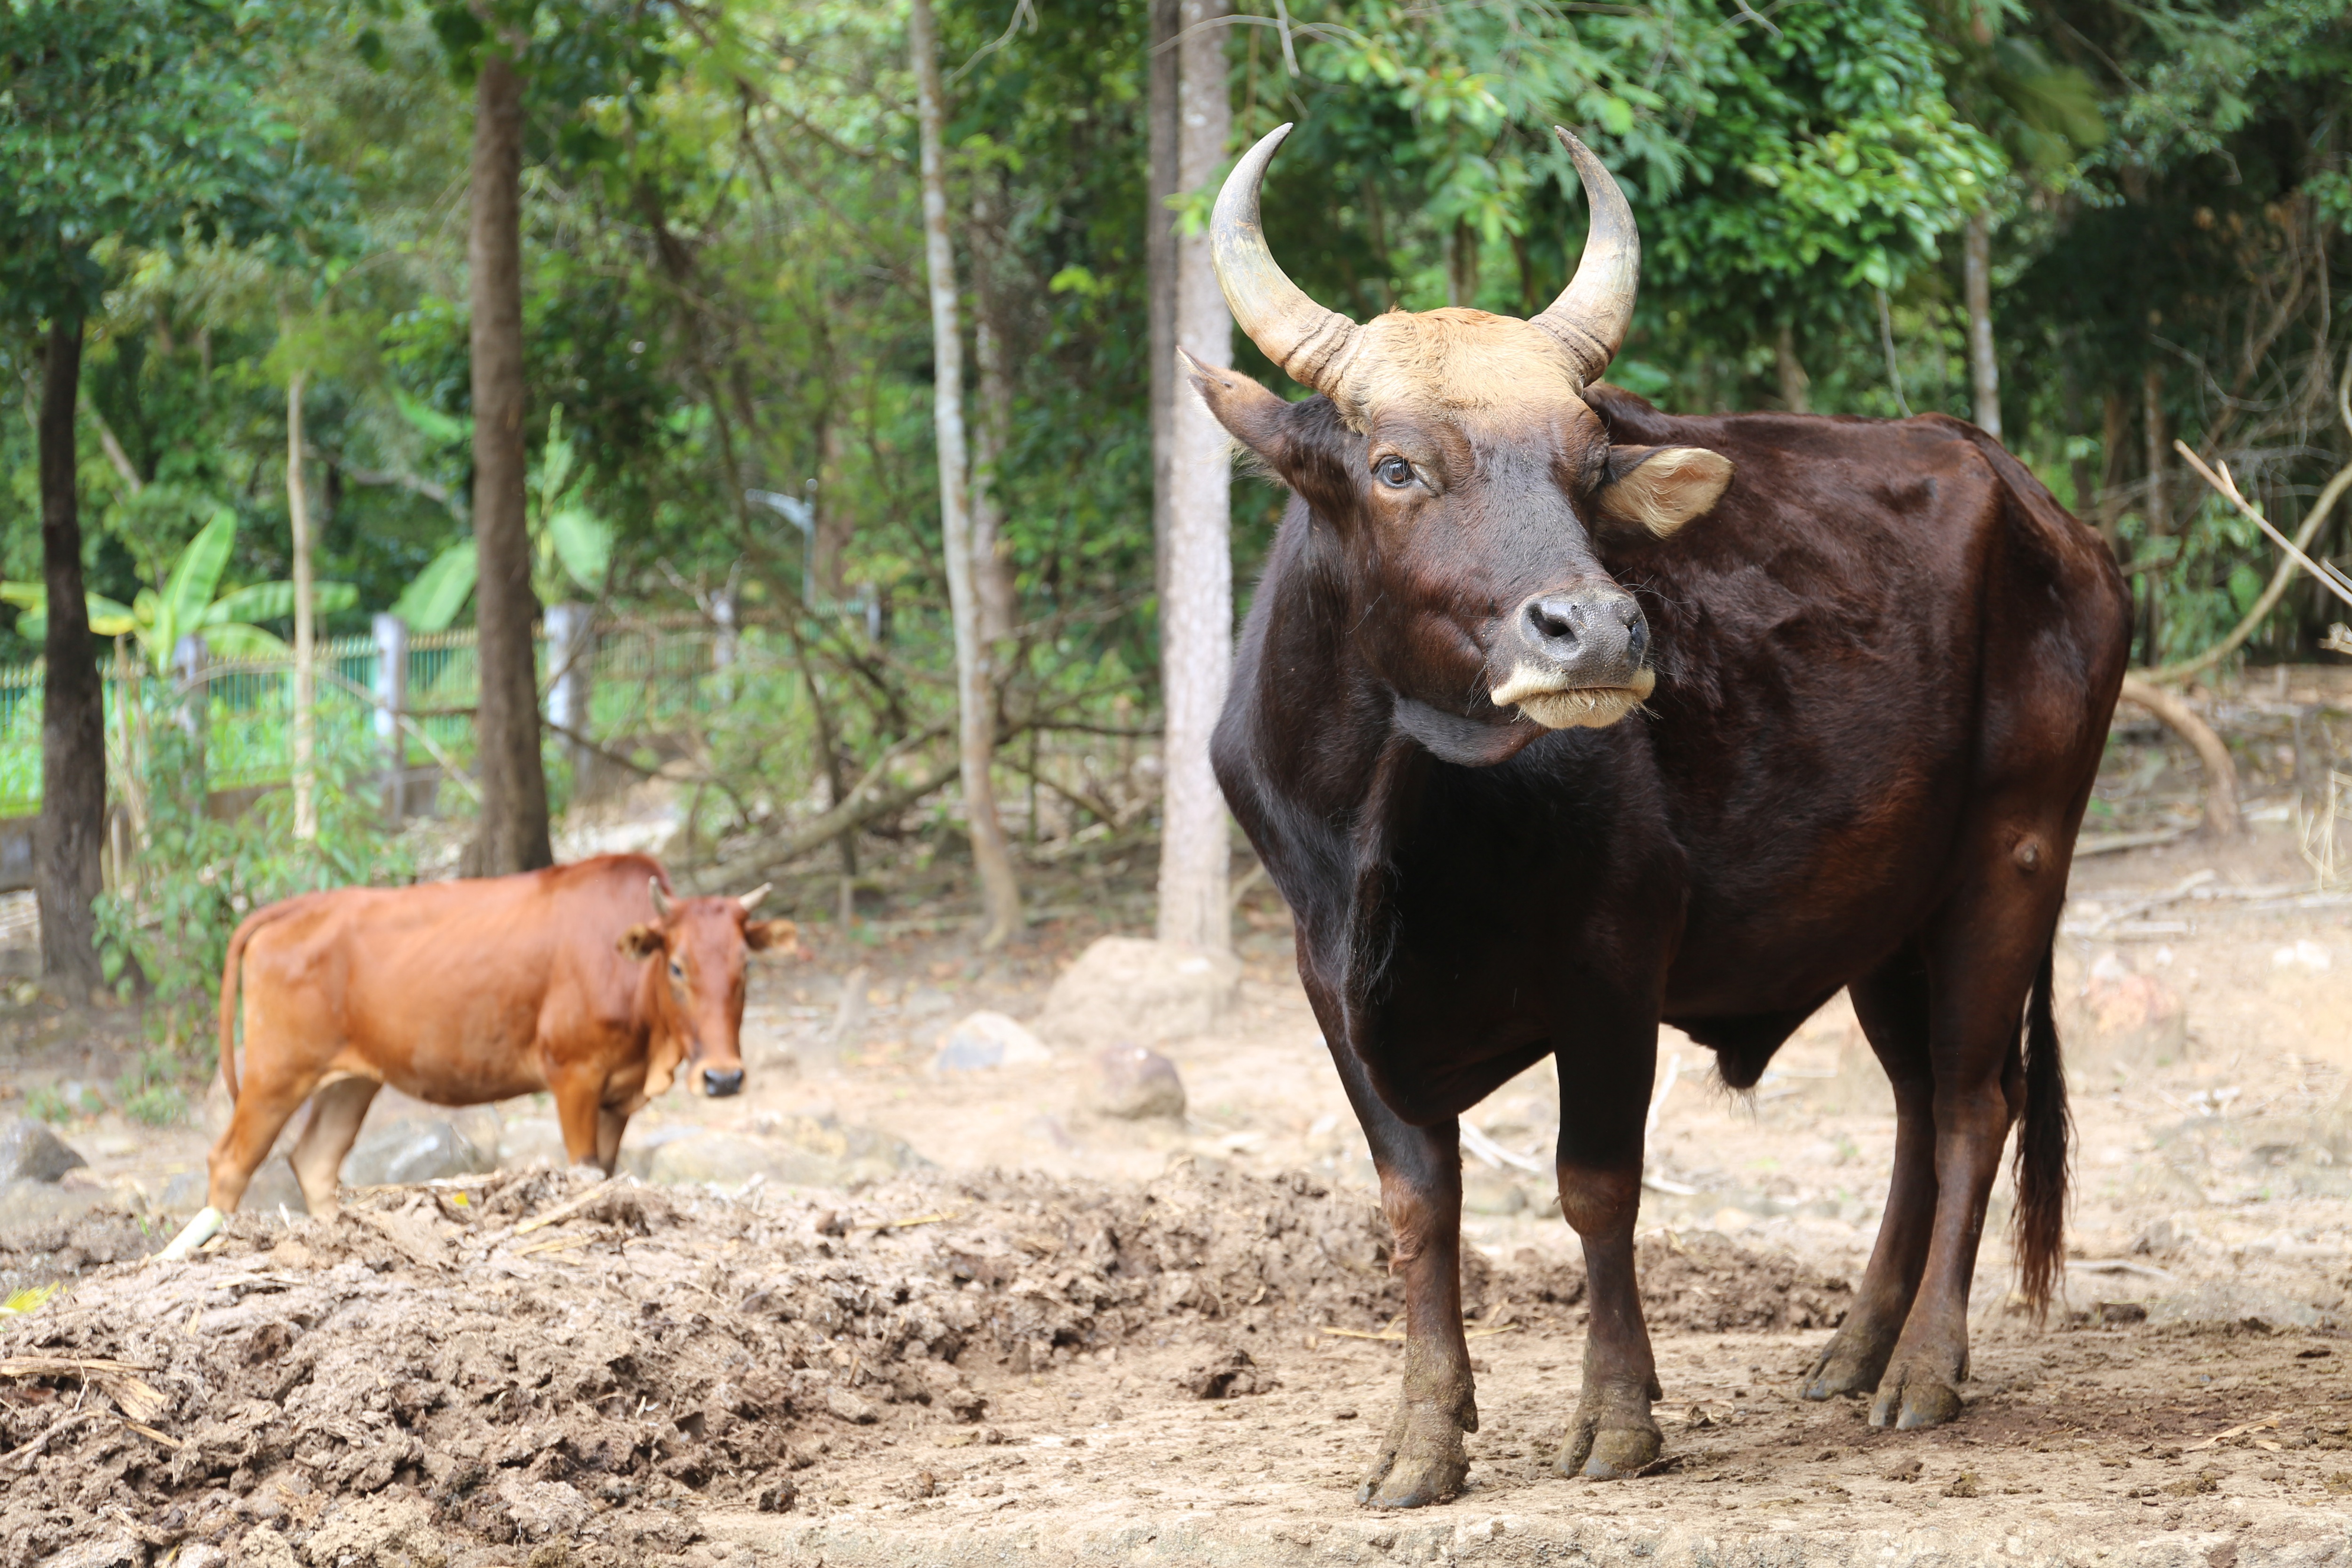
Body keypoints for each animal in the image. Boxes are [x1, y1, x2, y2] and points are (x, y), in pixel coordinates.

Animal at [159, 860, 800, 1260]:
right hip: (277, 1074)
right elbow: (583, 1169)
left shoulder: (618, 1096)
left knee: (315, 1159)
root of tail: (289, 910)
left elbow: (607, 1174)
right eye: (677, 966)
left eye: (745, 965)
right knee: (230, 1162)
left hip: (352, 1081)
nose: (723, 1077)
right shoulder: (574, 1075)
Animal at [1195, 126, 2136, 1504]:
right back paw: (1854, 1346)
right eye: (1395, 466)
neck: (1394, 814)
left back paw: (1923, 1368)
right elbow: (1418, 1204)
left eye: (1584, 472)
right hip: (1884, 909)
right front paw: (1422, 1437)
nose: (1594, 629)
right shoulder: (1332, 983)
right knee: (1917, 1104)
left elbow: (1595, 1187)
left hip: (2014, 856)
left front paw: (1617, 1416)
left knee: (1974, 1103)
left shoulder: (1611, 968)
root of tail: (2052, 518)